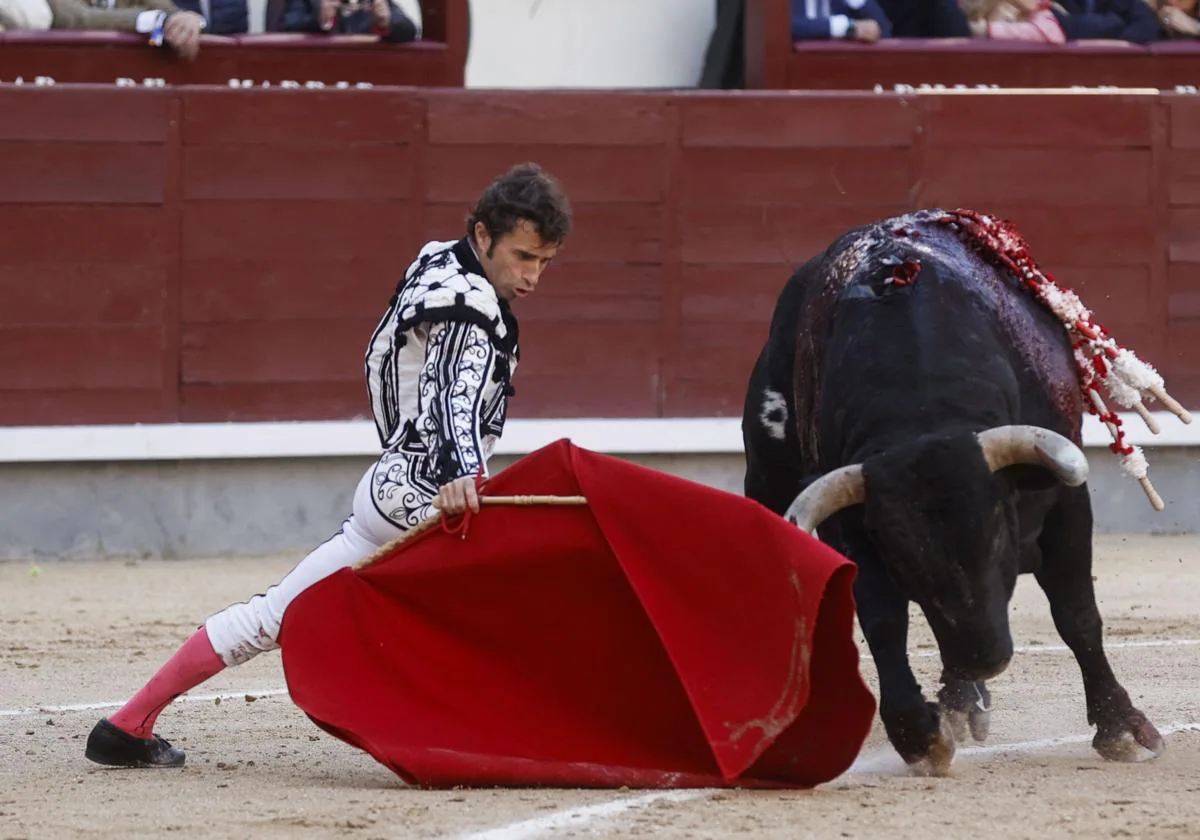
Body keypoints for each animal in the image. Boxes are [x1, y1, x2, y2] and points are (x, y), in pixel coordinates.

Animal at [744, 208, 1166, 772]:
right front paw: (918, 733)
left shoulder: (1066, 504)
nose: (984, 658)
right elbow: (883, 619)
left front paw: (1122, 728)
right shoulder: (854, 525)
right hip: (767, 477)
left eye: (997, 534)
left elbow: (1077, 613)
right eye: (903, 559)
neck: (924, 406)